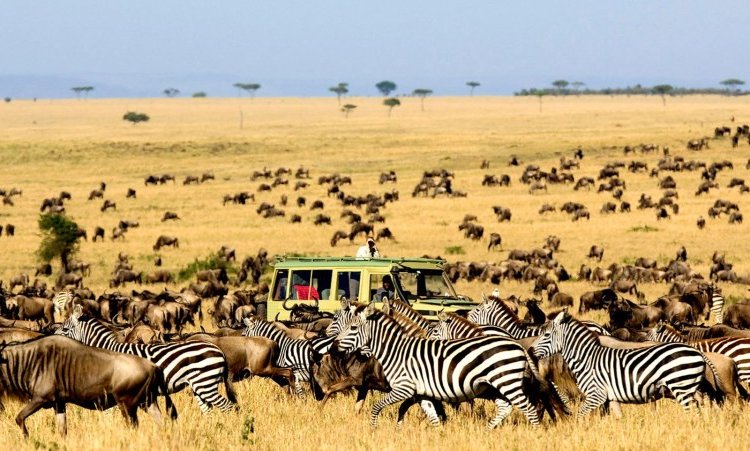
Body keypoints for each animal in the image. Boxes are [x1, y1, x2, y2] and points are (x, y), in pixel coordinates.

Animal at [57, 304, 236, 414]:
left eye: (65, 329)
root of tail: (218, 350)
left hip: (206, 383)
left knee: (229, 407)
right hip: (199, 386)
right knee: (209, 411)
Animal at [334, 304, 540, 428]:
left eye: (353, 328)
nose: (334, 347)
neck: (396, 351)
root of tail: (517, 345)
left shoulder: (404, 388)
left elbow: (377, 407)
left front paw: (373, 429)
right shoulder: (421, 393)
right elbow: (433, 418)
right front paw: (440, 434)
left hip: (506, 381)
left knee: (529, 409)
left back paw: (535, 433)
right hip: (497, 385)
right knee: (506, 408)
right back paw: (488, 430)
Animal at [536, 312, 712, 418]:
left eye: (546, 334)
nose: (531, 349)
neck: (587, 358)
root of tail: (697, 352)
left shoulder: (595, 395)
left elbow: (580, 416)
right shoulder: (610, 396)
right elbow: (617, 417)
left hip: (681, 386)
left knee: (693, 412)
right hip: (689, 387)